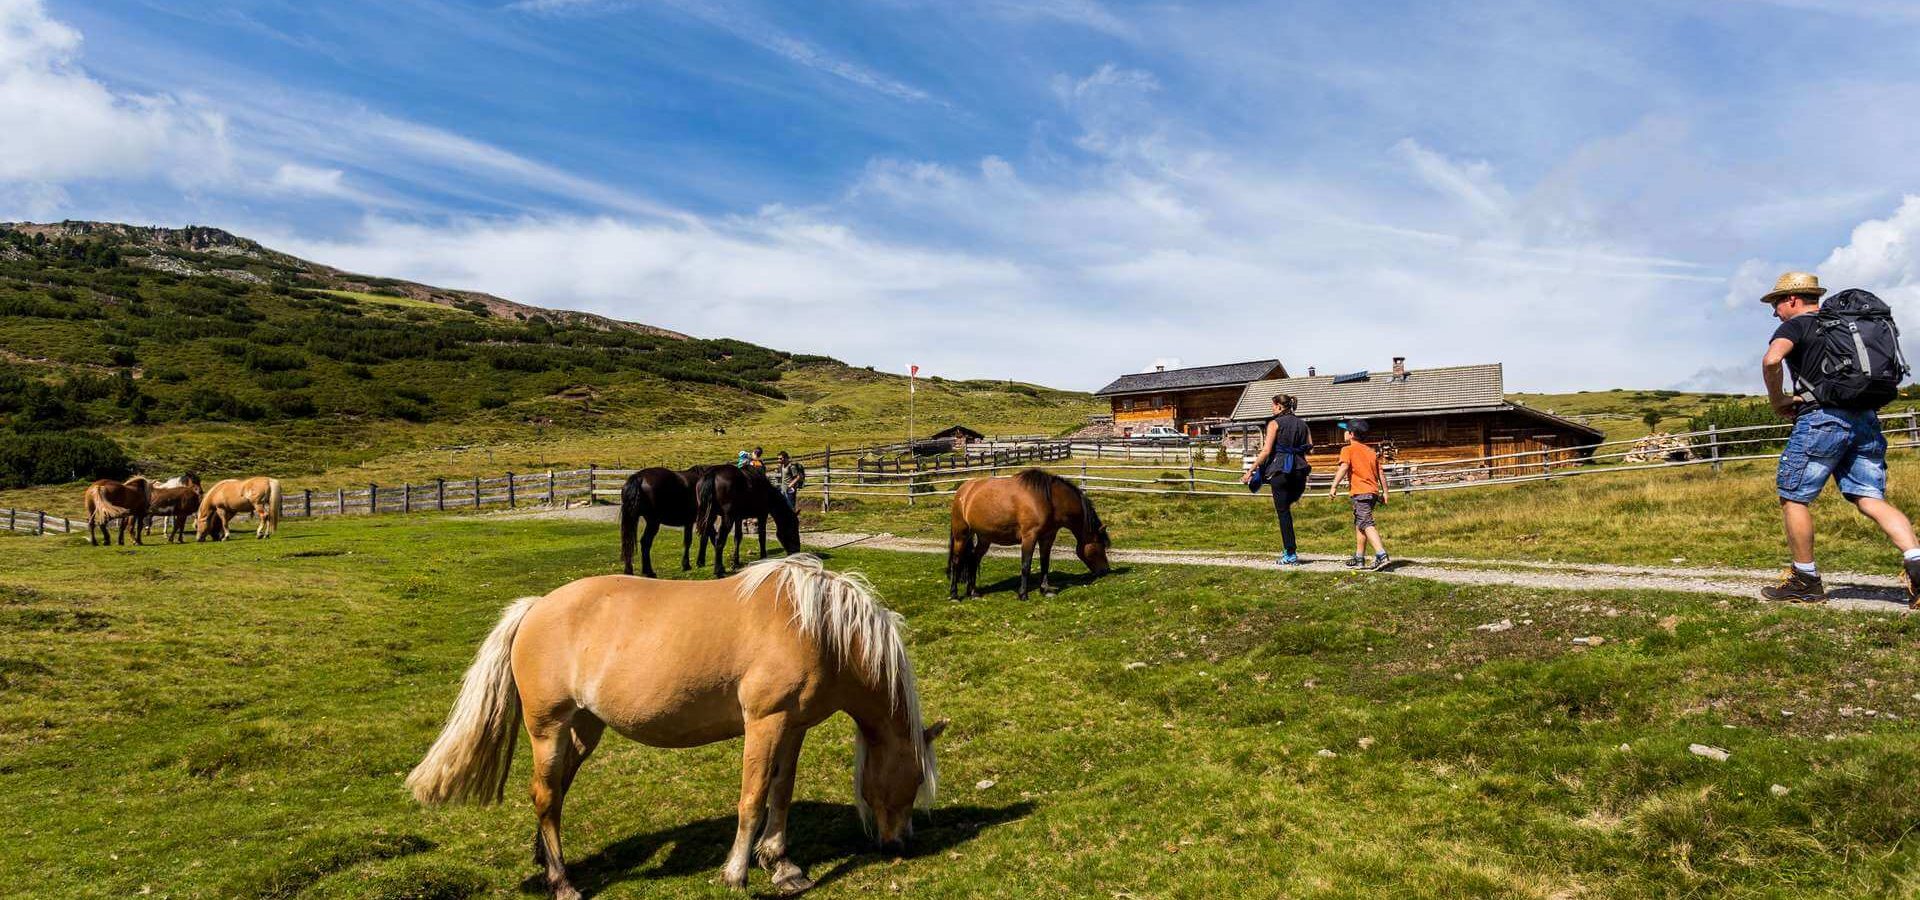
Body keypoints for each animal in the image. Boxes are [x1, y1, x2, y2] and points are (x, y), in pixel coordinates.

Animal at [408, 552, 940, 898]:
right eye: (914, 778)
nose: (901, 844)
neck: (818, 628)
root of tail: (534, 608)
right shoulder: (765, 723)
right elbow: (752, 799)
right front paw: (736, 873)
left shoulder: (793, 727)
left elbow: (780, 794)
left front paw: (783, 866)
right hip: (548, 728)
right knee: (544, 794)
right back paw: (562, 883)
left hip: (583, 729)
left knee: (554, 792)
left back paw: (546, 860)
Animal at [944, 466, 1113, 598]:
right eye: (1100, 545)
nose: (1105, 570)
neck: (1049, 500)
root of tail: (963, 491)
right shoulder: (1029, 537)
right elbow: (1026, 565)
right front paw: (1023, 594)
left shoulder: (1047, 537)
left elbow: (1045, 562)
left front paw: (1045, 589)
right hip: (961, 535)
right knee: (956, 561)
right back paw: (954, 594)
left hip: (985, 538)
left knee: (973, 559)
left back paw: (973, 592)